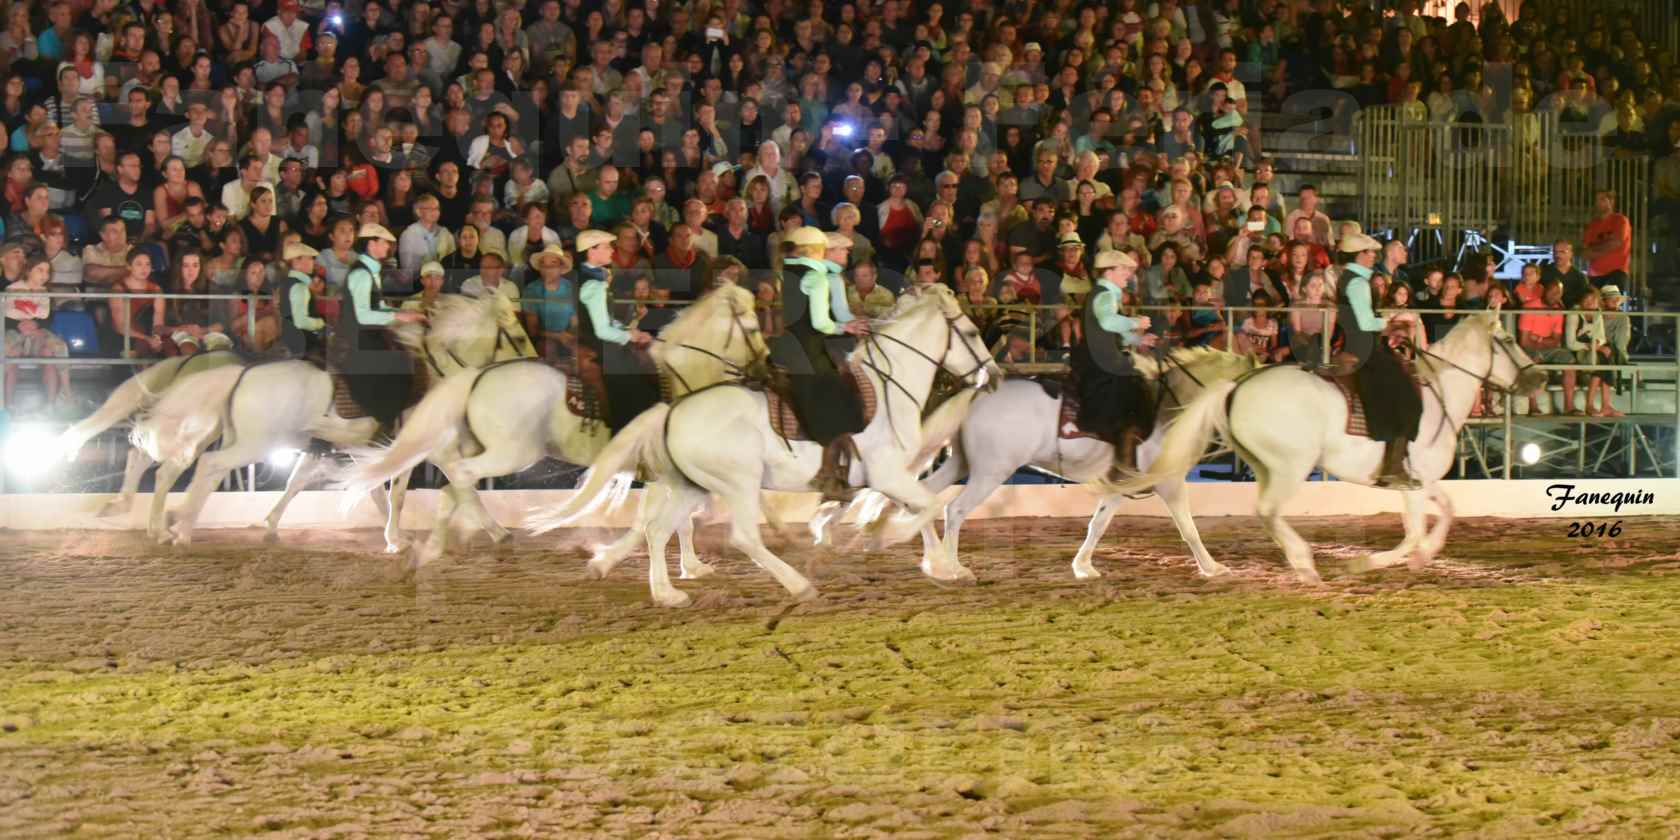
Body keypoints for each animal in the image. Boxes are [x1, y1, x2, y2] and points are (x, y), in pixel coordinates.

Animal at [341, 277, 772, 571]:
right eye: (752, 328)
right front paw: (685, 563)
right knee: (453, 477)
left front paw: (689, 565)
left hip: (476, 444)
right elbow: (675, 518)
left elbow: (670, 517)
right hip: (512, 452)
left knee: (445, 479)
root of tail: (480, 375)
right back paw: (452, 540)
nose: (765, 363)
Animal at [524, 285, 994, 608]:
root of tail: (674, 410)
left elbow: (918, 509)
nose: (991, 372)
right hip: (739, 483)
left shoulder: (890, 476)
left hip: (693, 485)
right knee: (743, 537)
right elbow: (926, 509)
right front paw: (894, 540)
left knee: (659, 529)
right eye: (972, 332)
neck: (887, 387)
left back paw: (667, 593)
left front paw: (947, 566)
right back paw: (798, 584)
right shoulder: (889, 474)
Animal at [853, 346, 1263, 577]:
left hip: (961, 464)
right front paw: (1212, 568)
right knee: (954, 509)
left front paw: (1083, 566)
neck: (1166, 410)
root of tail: (978, 393)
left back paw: (933, 560)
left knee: (921, 498)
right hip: (990, 472)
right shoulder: (1168, 483)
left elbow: (1097, 524)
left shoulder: (1120, 487)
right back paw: (953, 567)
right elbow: (1189, 528)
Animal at [1108, 312, 1538, 581]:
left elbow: (1446, 512)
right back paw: (1304, 563)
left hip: (1266, 465)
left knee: (1264, 512)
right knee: (1267, 511)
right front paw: (1365, 564)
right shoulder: (1416, 483)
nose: (1540, 378)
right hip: (1291, 466)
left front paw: (1423, 556)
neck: (1438, 395)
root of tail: (1235, 387)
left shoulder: (1417, 483)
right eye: (1508, 339)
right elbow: (1418, 531)